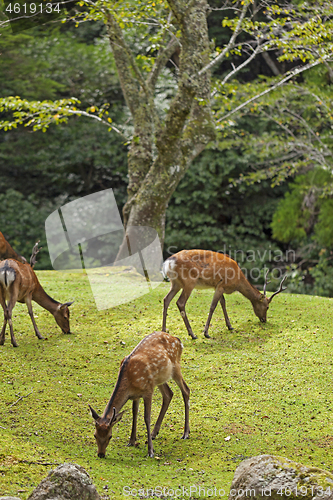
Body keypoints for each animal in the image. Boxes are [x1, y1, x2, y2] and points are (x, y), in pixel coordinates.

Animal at [89, 330, 189, 458]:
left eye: (110, 436)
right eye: (95, 435)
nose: (101, 454)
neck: (129, 380)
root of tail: (178, 340)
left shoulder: (148, 391)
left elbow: (147, 417)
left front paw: (150, 451)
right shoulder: (135, 396)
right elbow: (134, 414)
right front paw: (131, 441)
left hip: (175, 367)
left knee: (186, 390)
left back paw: (186, 433)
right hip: (159, 378)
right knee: (168, 394)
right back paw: (154, 433)